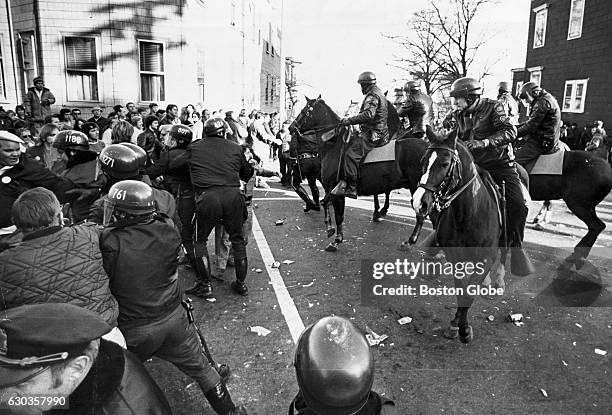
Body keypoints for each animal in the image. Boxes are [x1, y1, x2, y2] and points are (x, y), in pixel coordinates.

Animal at [290, 97, 428, 252]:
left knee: (421, 214)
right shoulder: (332, 189)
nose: (291, 127)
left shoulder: (337, 190)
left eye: (304, 111)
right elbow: (325, 203)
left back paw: (410, 241)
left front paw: (336, 240)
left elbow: (339, 215)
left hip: (416, 188)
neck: (333, 146)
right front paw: (330, 228)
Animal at [412, 132, 502, 342]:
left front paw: (464, 329)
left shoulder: (487, 257)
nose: (419, 202)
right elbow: (461, 289)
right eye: (423, 161)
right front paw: (456, 324)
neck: (468, 214)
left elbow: (469, 292)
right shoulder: (455, 258)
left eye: (445, 163)